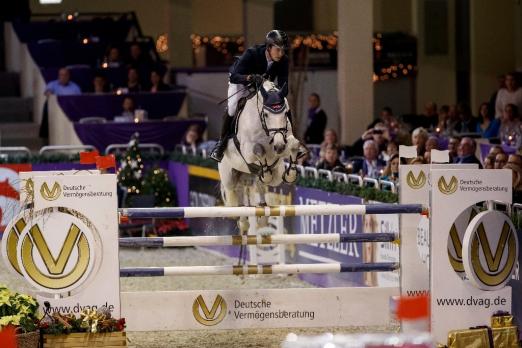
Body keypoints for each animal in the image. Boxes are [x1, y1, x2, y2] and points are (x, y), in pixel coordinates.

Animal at [218, 80, 300, 235]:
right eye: (266, 114)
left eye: (285, 113)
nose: (279, 146)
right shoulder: (247, 151)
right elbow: (258, 150)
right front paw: (266, 172)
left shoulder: (283, 144)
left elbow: (294, 144)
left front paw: (291, 174)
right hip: (229, 176)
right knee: (235, 194)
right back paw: (243, 222)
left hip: (267, 176)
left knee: (257, 187)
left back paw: (261, 212)